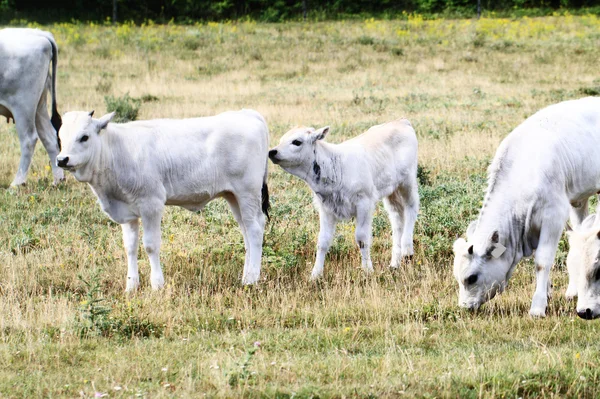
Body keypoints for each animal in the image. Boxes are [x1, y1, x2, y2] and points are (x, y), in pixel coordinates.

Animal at [0, 27, 64, 187]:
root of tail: (40, 33)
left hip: (23, 106)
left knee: (29, 139)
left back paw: (17, 183)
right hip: (39, 106)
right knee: (50, 137)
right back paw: (57, 180)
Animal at [55, 109, 270, 290]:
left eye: (84, 137)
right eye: (60, 136)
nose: (62, 159)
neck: (116, 151)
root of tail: (247, 113)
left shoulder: (151, 204)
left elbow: (150, 245)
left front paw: (157, 284)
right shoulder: (127, 212)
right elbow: (130, 247)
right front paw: (131, 286)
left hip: (247, 192)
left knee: (254, 229)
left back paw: (251, 279)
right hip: (233, 196)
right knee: (246, 230)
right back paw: (247, 274)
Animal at [270, 120, 420, 280]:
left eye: (296, 142)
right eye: (281, 139)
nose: (272, 152)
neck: (335, 165)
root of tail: (401, 121)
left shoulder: (364, 203)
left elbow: (362, 238)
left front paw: (367, 269)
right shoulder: (326, 209)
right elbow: (323, 241)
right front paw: (315, 275)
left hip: (408, 181)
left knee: (411, 208)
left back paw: (407, 250)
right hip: (391, 191)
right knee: (397, 219)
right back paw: (394, 263)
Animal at [452, 97, 600, 318]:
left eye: (471, 278)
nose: (464, 307)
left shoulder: (553, 216)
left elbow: (542, 261)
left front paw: (538, 306)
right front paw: (547, 292)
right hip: (579, 200)